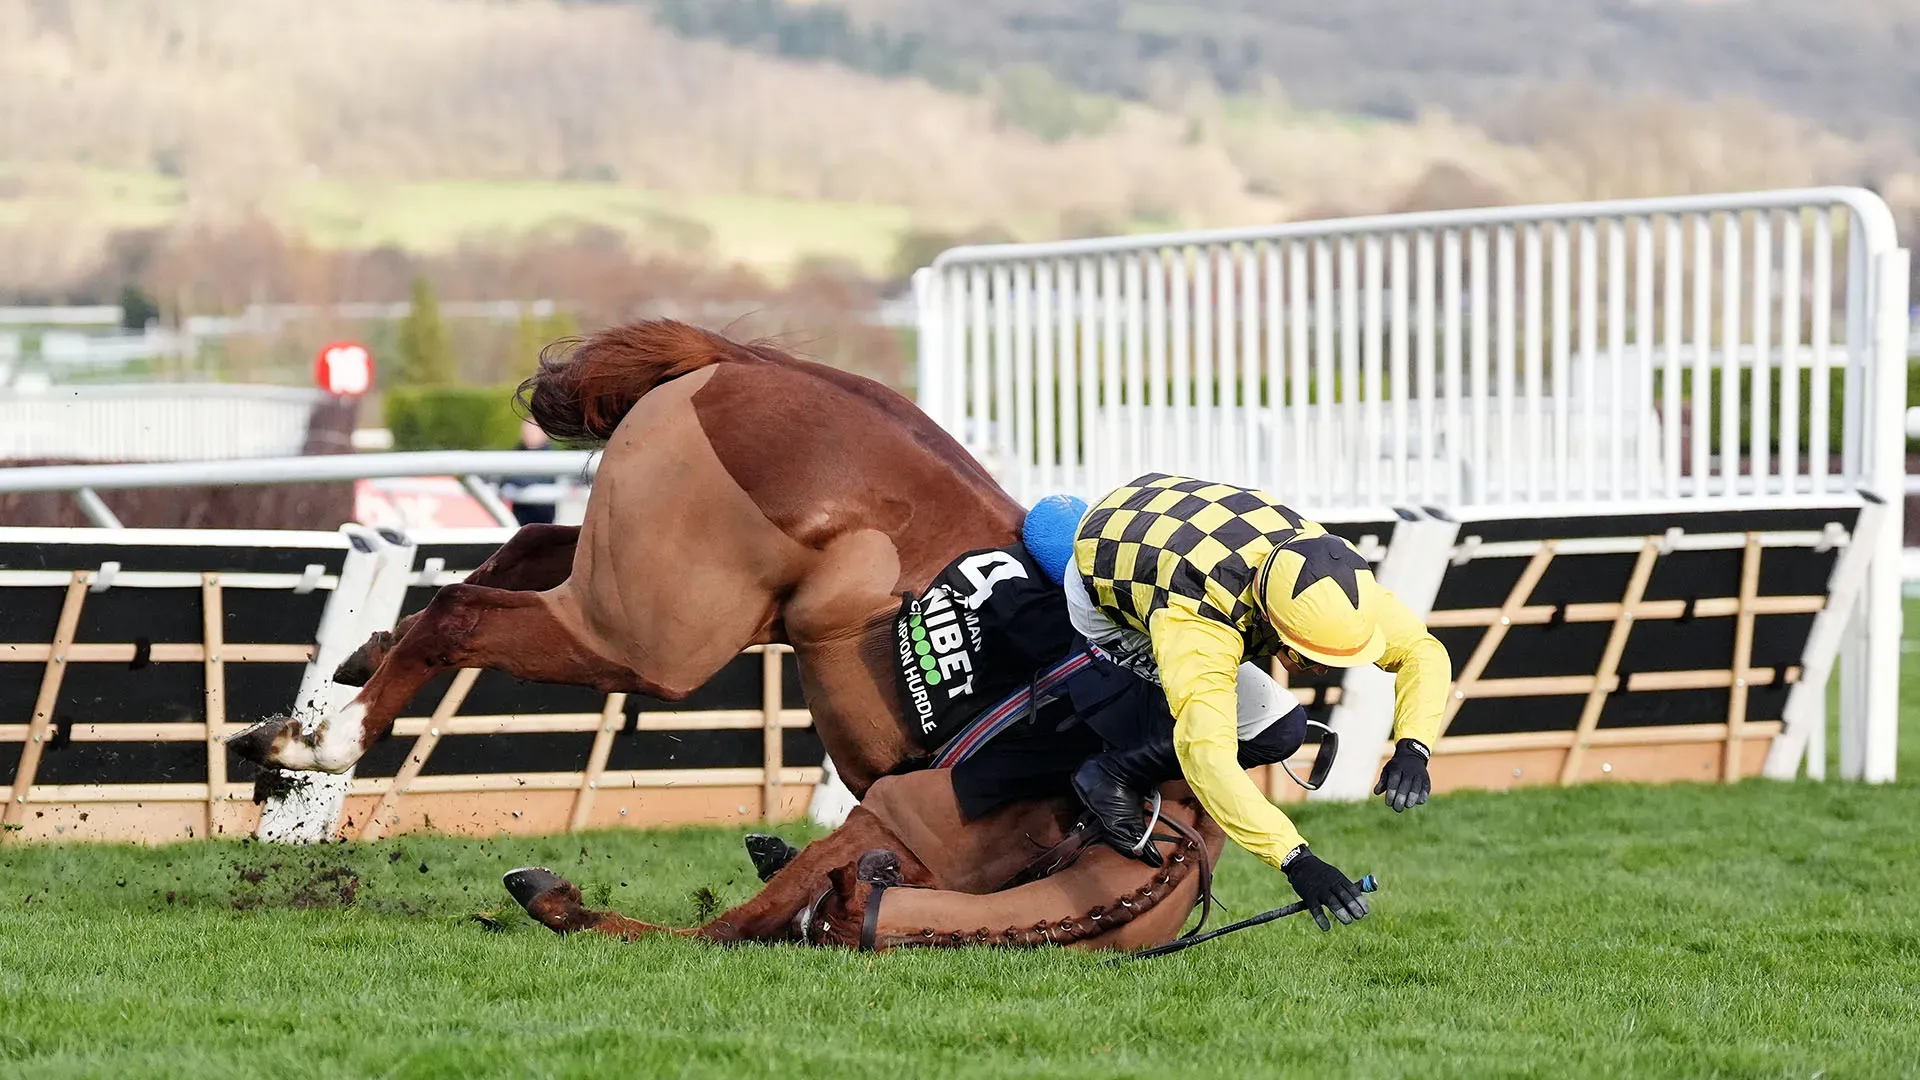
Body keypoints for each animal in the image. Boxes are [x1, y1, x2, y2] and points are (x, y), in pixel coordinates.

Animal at [224, 317, 1213, 941]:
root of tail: (737, 363)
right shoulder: (915, 824)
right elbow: (756, 921)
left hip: (656, 590)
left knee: (526, 548)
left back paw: (353, 672)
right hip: (656, 637)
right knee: (473, 613)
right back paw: (326, 741)